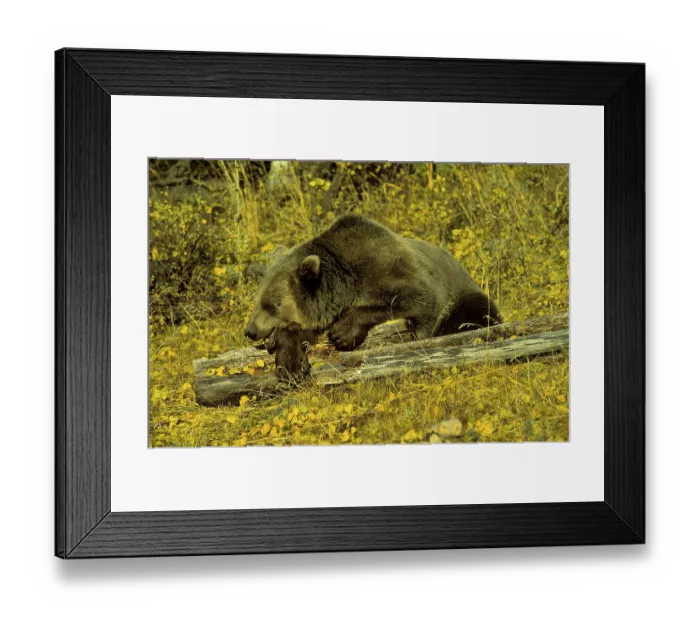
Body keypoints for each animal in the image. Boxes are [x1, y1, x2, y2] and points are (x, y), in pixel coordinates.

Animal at [243, 215, 502, 381]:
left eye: (270, 304)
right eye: (257, 301)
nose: (250, 331)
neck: (344, 285)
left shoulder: (390, 268)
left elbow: (415, 298)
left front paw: (343, 333)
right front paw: (291, 365)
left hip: (465, 294)